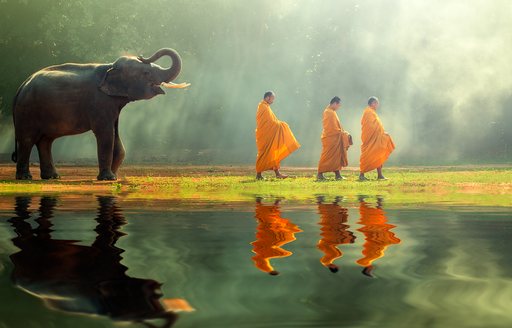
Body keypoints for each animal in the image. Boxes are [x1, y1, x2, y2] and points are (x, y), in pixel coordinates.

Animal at [12, 48, 185, 179]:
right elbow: (106, 134)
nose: (142, 55)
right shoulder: (100, 102)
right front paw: (108, 178)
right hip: (27, 111)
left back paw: (52, 177)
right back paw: (25, 177)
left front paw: (114, 176)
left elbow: (116, 137)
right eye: (146, 73)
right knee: (27, 140)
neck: (109, 66)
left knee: (45, 141)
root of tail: (22, 86)